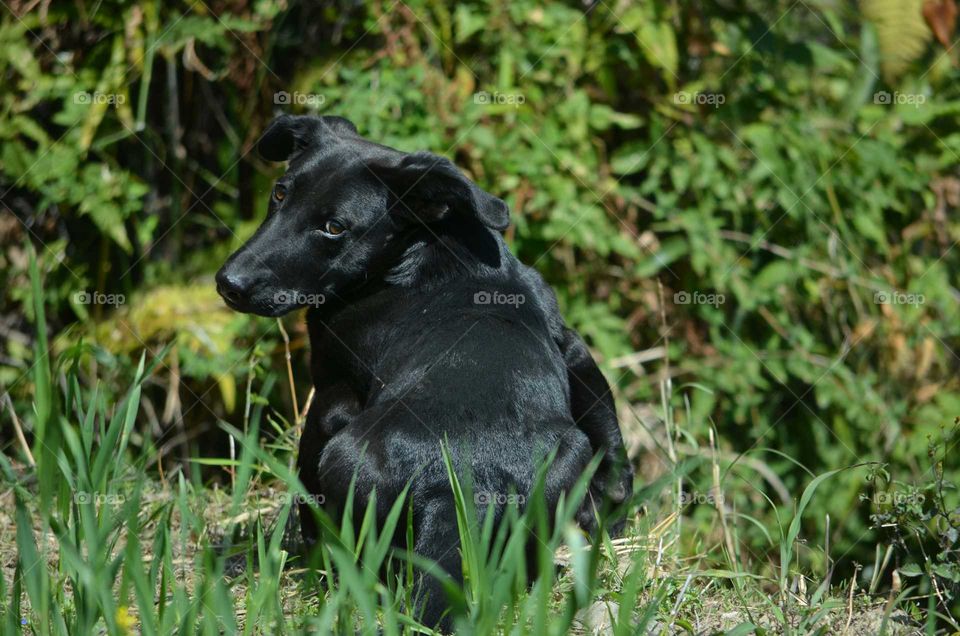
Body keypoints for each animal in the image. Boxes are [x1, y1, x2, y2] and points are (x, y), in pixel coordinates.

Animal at [218, 115, 636, 632]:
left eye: (334, 227)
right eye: (279, 194)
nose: (229, 284)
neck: (424, 250)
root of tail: (462, 490)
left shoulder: (331, 393)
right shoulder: (571, 345)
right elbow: (608, 429)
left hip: (342, 457)